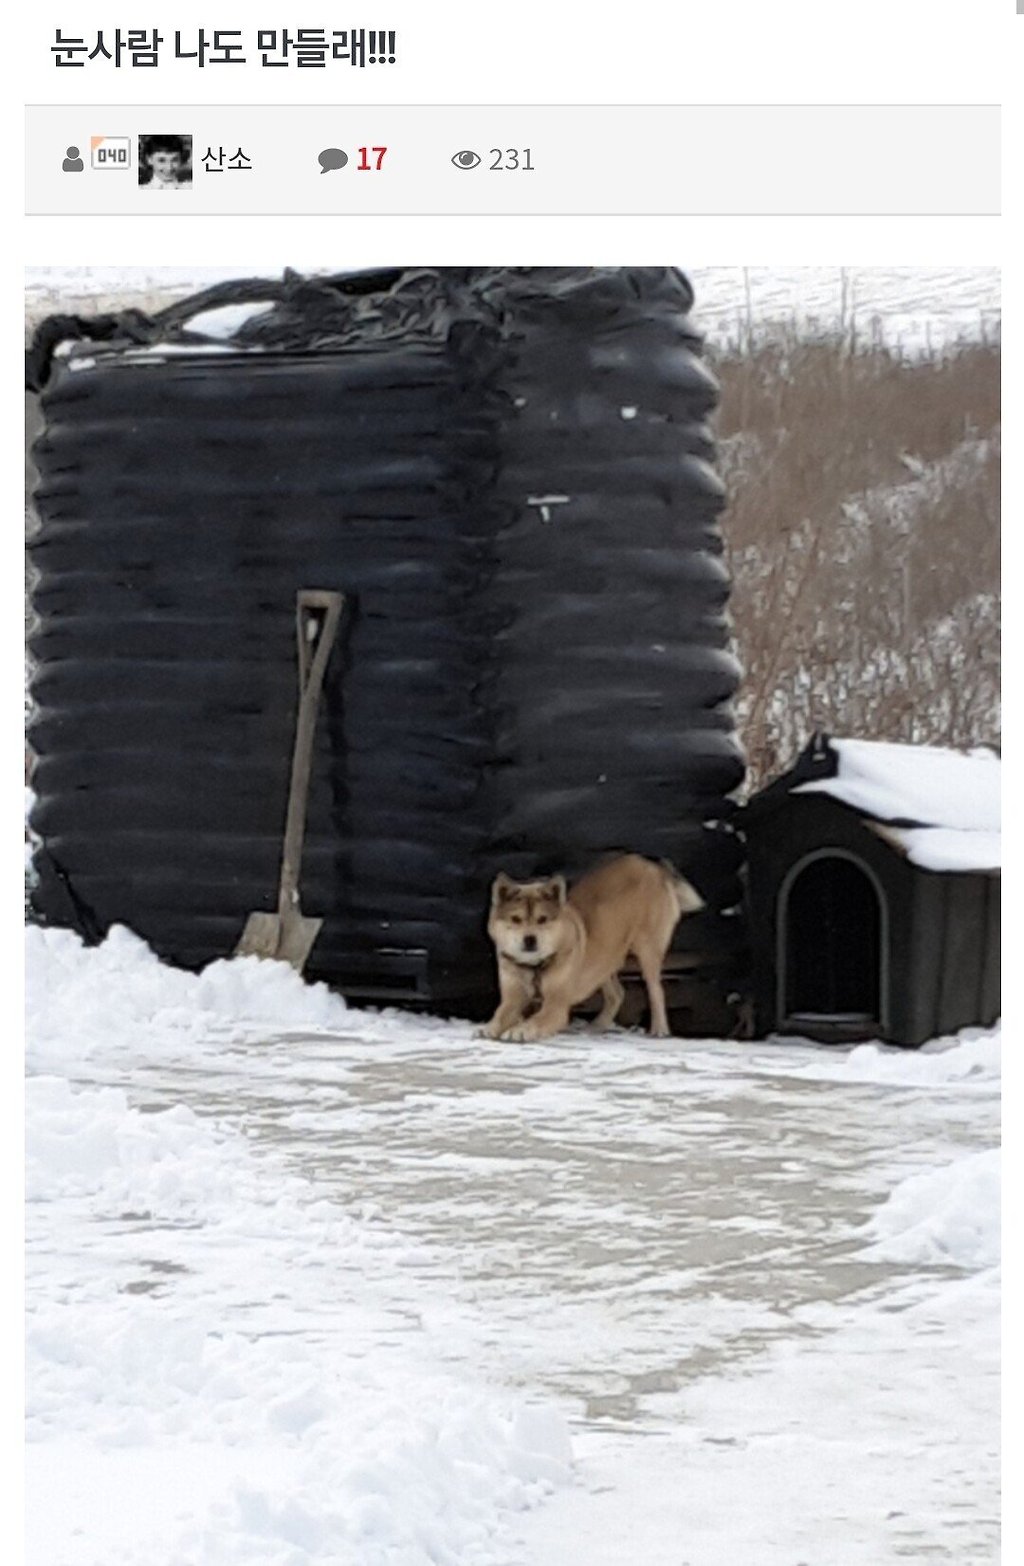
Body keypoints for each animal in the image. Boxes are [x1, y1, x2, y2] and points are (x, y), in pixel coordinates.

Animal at [482, 851, 707, 1046]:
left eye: (542, 919)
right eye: (516, 919)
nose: (530, 939)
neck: (535, 966)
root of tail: (654, 867)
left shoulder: (556, 1004)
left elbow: (537, 1019)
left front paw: (520, 1030)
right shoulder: (512, 996)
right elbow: (500, 1013)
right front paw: (490, 1027)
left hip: (647, 951)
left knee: (656, 992)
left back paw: (659, 1029)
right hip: (604, 957)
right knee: (617, 993)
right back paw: (597, 1025)